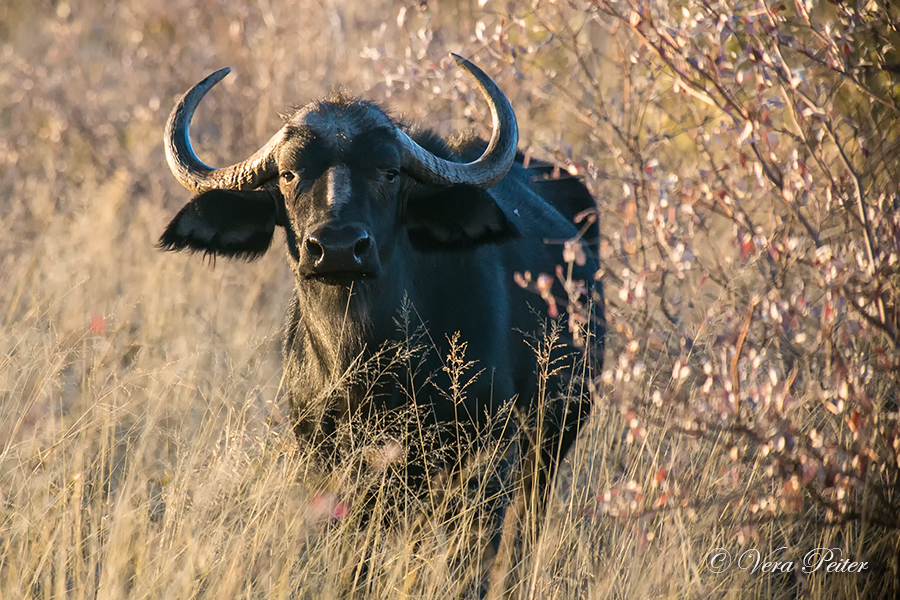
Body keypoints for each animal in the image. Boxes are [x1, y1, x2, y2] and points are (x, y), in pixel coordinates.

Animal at [160, 57, 604, 576]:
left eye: (390, 172)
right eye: (288, 174)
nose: (337, 248)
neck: (364, 361)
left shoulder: (488, 463)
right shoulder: (324, 465)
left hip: (550, 446)